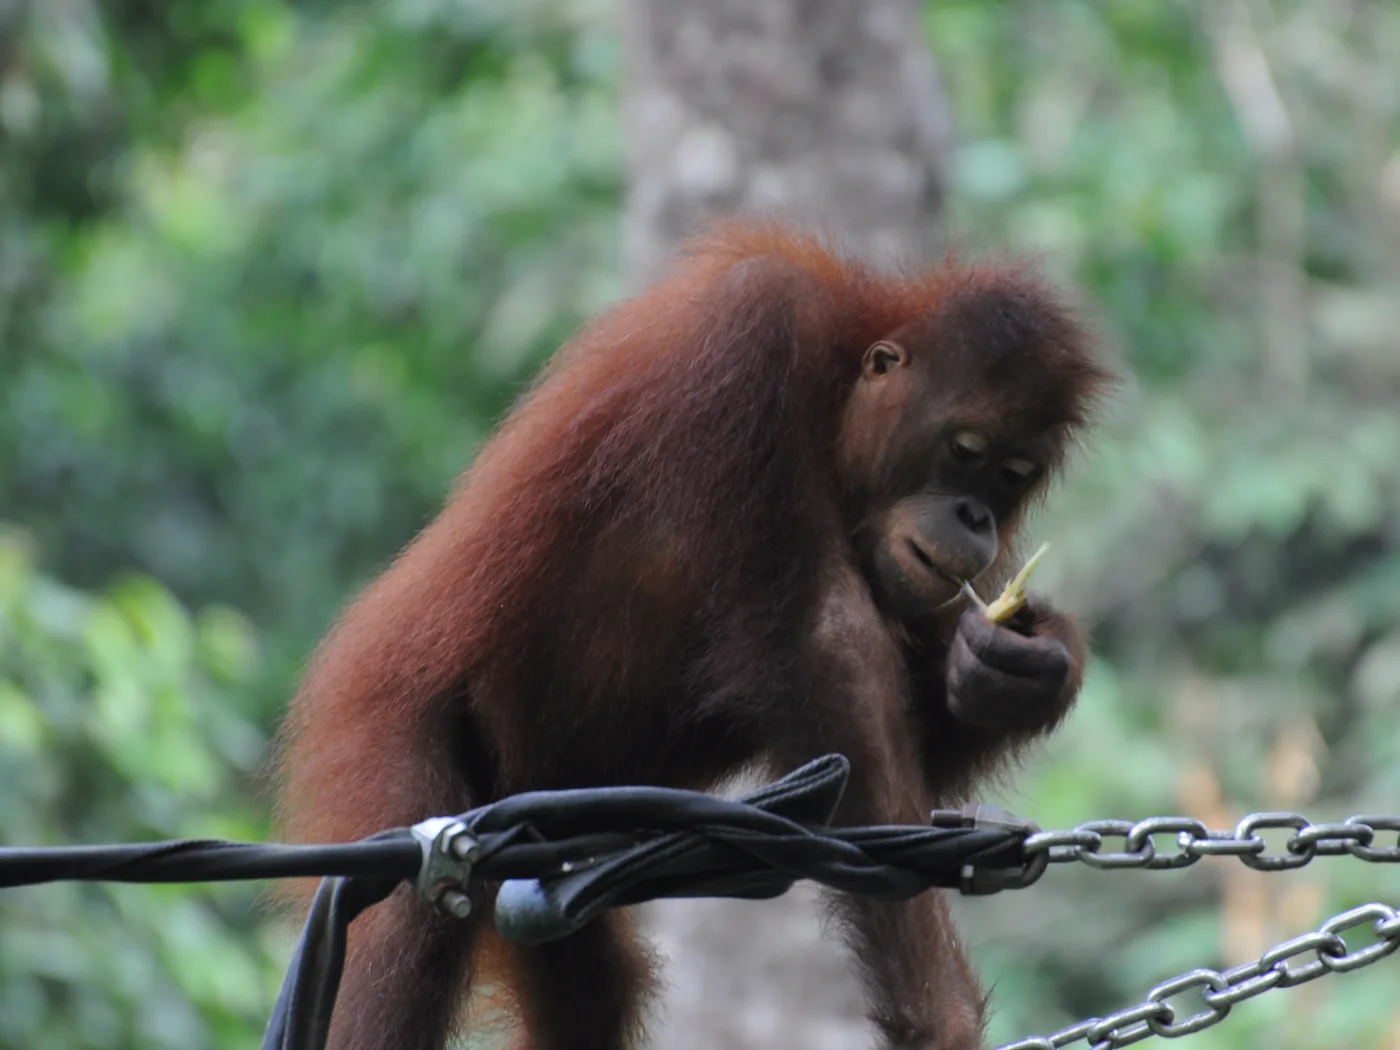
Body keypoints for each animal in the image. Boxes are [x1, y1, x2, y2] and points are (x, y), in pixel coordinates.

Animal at [275, 220, 1113, 1050]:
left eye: (1012, 474)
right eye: (966, 451)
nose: (974, 518)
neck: (840, 394)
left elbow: (916, 751)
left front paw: (1024, 667)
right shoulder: (757, 343)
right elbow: (825, 641)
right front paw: (941, 1019)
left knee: (591, 982)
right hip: (386, 724)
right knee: (407, 929)